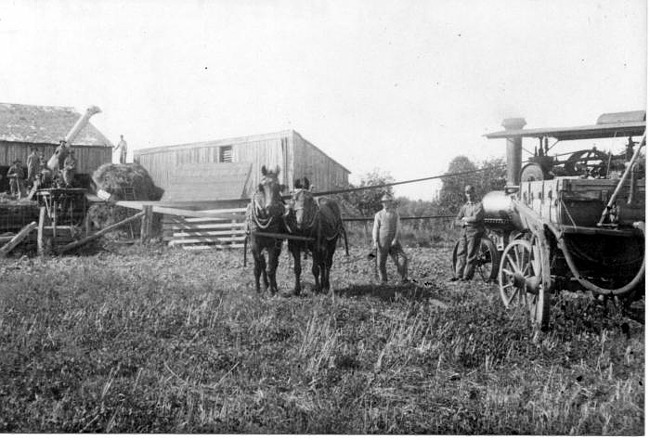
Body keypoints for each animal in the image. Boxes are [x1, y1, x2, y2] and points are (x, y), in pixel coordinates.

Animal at [244, 165, 284, 296]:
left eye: (278, 187)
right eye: (261, 187)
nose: (270, 209)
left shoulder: (273, 245)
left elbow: (271, 267)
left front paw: (272, 291)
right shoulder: (255, 244)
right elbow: (258, 268)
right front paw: (258, 289)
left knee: (274, 264)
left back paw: (273, 286)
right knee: (262, 263)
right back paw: (265, 284)